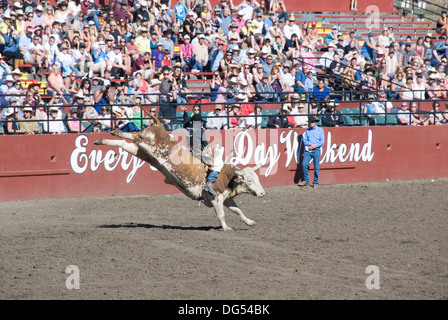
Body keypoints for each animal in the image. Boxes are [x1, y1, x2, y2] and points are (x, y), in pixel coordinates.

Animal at [93, 109, 264, 231]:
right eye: (249, 180)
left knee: (124, 143)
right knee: (134, 136)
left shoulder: (227, 198)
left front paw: (250, 222)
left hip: (142, 152)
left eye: (257, 178)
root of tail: (159, 126)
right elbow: (221, 214)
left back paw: (102, 139)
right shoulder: (215, 198)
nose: (262, 193)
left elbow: (238, 211)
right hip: (147, 143)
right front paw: (227, 228)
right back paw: (117, 131)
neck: (228, 177)